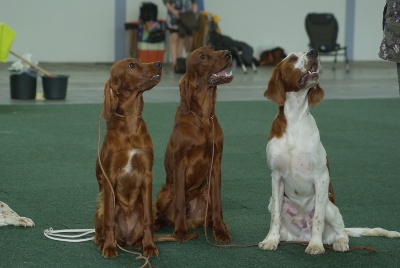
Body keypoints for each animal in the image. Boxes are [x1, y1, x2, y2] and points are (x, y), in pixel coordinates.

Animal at [94, 58, 162, 258]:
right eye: (131, 65)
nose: (159, 63)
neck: (130, 125)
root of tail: (127, 237)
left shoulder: (147, 175)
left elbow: (148, 220)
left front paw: (149, 246)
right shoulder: (109, 178)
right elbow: (109, 219)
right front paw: (109, 247)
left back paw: (139, 242)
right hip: (100, 206)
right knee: (100, 227)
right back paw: (103, 242)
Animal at [154, 46, 234, 243]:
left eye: (213, 48)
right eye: (203, 56)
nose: (228, 53)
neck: (203, 118)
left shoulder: (216, 163)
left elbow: (218, 203)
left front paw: (220, 231)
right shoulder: (180, 164)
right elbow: (180, 203)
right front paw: (180, 232)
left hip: (205, 191)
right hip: (166, 192)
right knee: (160, 213)